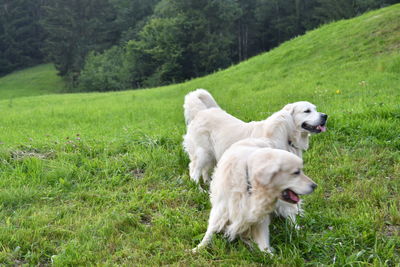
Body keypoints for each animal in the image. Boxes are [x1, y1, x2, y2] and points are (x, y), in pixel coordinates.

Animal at [183, 90, 326, 226]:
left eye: (315, 109)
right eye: (307, 111)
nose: (325, 116)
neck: (287, 136)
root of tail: (200, 112)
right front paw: (294, 224)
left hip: (212, 157)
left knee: (205, 171)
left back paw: (208, 184)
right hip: (203, 153)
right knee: (194, 170)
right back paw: (200, 190)